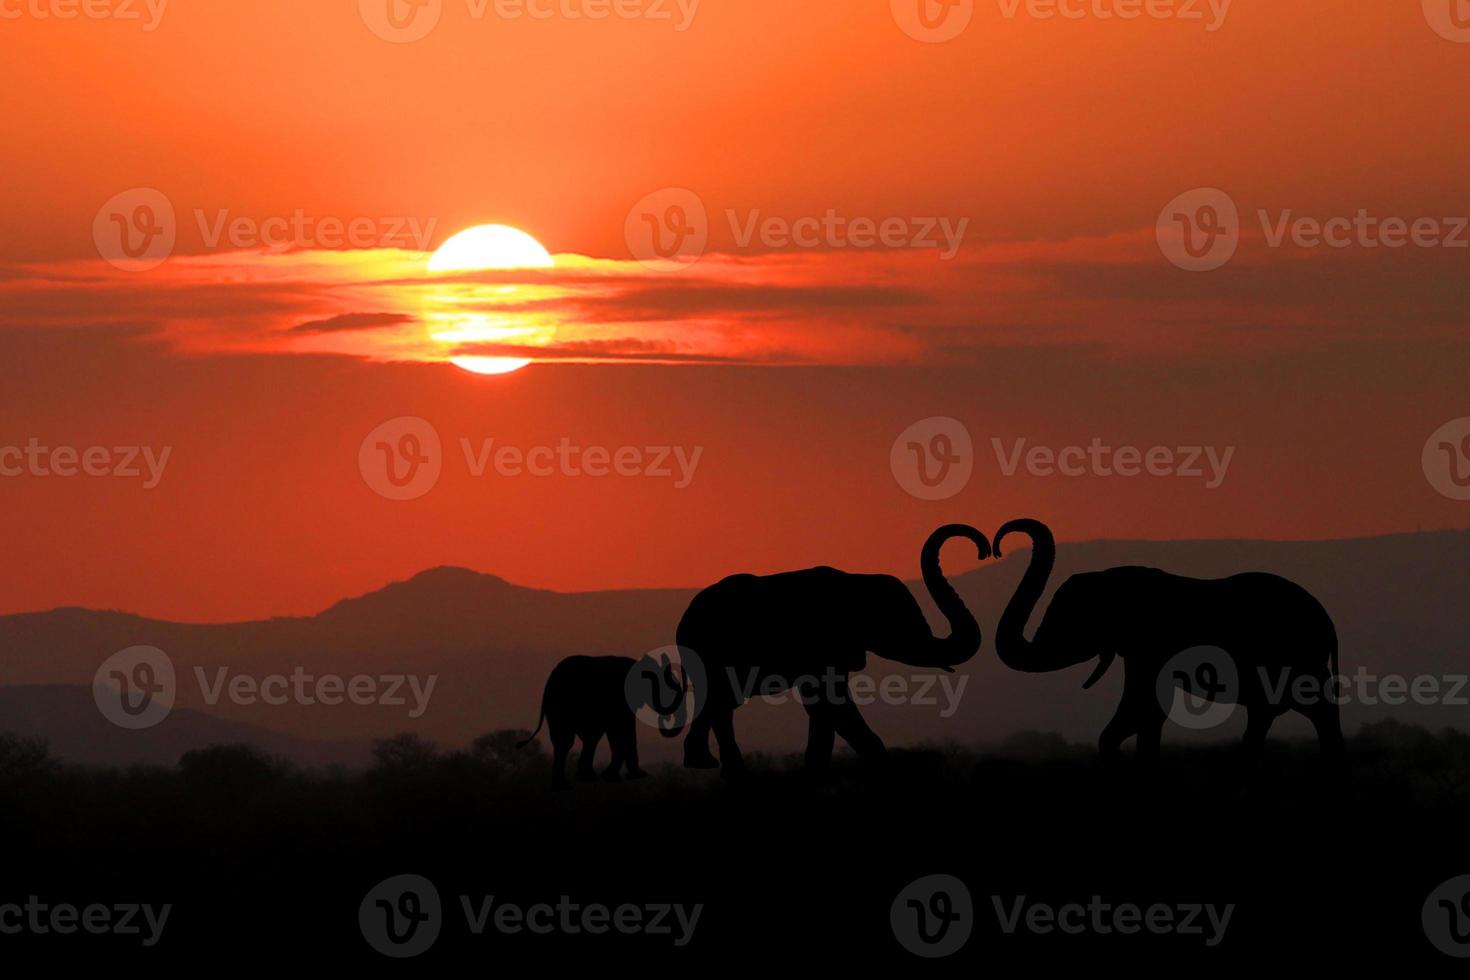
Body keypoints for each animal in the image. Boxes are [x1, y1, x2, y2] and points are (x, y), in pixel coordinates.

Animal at [520, 658, 685, 787]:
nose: (664, 719)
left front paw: (613, 777)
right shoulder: (620, 697)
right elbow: (624, 729)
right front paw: (637, 776)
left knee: (581, 739)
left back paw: (574, 781)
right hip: (560, 708)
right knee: (569, 740)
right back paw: (570, 783)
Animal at [673, 525, 993, 775]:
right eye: (898, 621)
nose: (983, 550)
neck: (855, 579)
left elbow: (823, 708)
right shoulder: (822, 644)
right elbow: (832, 704)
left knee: (722, 703)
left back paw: (708, 763)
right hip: (709, 652)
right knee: (722, 701)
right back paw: (715, 766)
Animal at [987, 517, 1346, 769]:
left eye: (1071, 621)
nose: (997, 545)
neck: (1114, 578)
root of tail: (1327, 621)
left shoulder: (1151, 645)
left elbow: (1145, 706)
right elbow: (1145, 711)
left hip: (1292, 657)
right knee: (1281, 711)